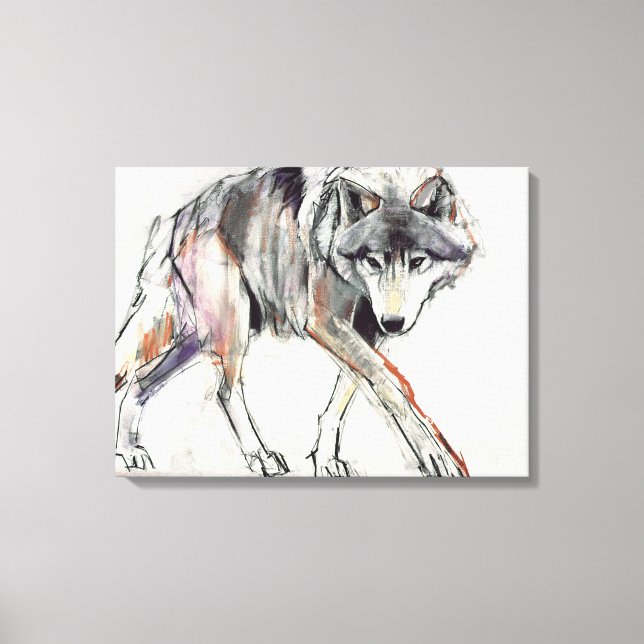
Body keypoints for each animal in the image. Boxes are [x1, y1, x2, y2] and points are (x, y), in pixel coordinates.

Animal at [115, 167, 480, 476]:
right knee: (224, 390)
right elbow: (392, 384)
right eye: (373, 261)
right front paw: (435, 456)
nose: (393, 323)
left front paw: (327, 460)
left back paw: (129, 450)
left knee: (140, 379)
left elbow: (346, 397)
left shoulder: (366, 329)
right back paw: (260, 455)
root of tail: (178, 217)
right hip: (230, 331)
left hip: (202, 338)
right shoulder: (323, 320)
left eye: (418, 261)